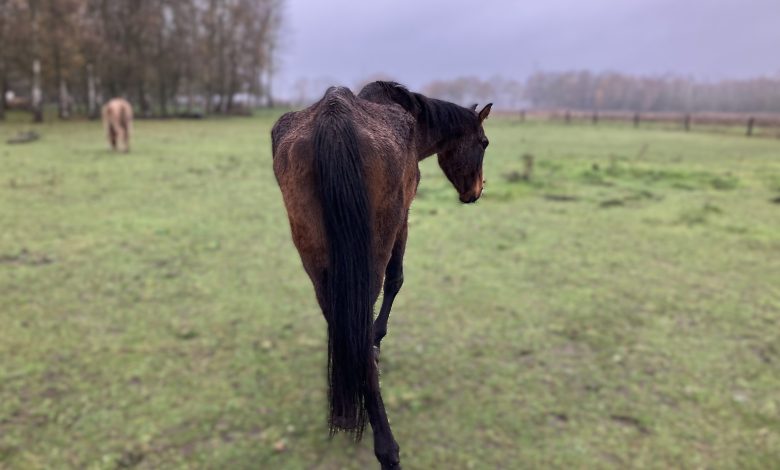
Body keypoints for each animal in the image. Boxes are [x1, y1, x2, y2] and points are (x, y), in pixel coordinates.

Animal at [271, 81, 491, 469]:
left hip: (317, 260)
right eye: (484, 143)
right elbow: (396, 282)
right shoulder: (403, 220)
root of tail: (333, 117)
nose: (476, 191)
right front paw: (377, 340)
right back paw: (386, 447)